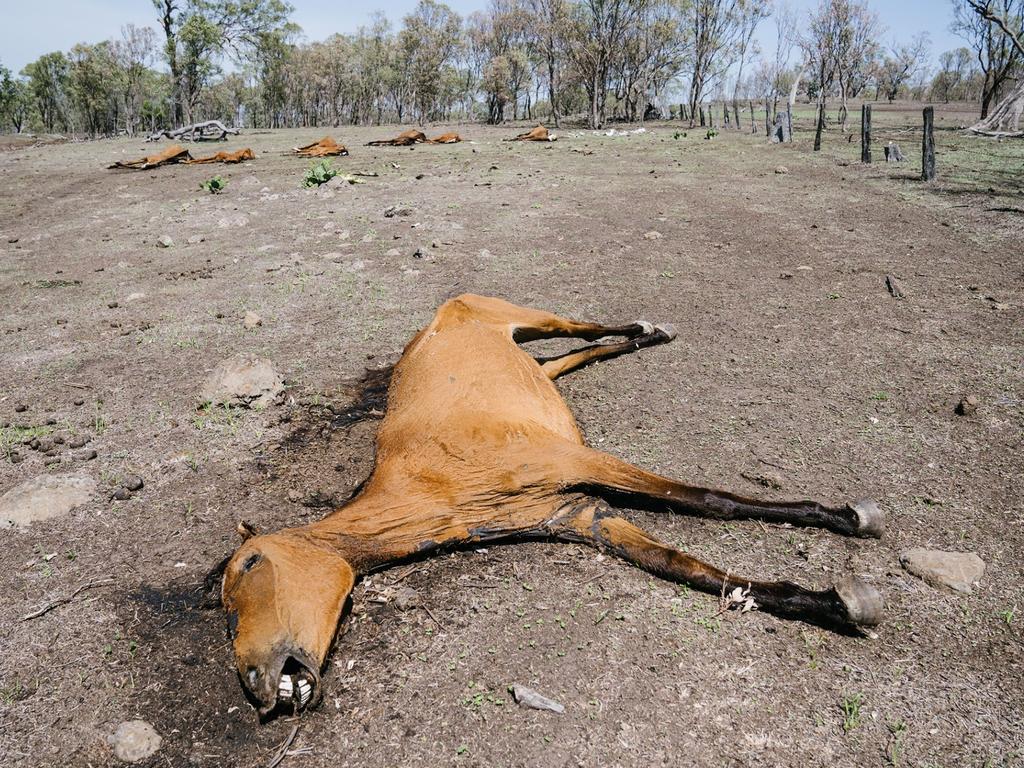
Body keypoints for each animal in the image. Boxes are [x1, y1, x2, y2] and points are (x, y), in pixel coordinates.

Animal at [222, 296, 880, 720]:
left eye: (250, 566)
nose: (255, 683)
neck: (432, 482)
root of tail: (441, 312)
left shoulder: (580, 460)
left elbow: (711, 500)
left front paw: (847, 519)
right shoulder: (581, 517)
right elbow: (692, 569)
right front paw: (835, 603)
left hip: (524, 316)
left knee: (581, 326)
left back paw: (651, 328)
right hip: (535, 365)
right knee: (569, 358)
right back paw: (640, 338)